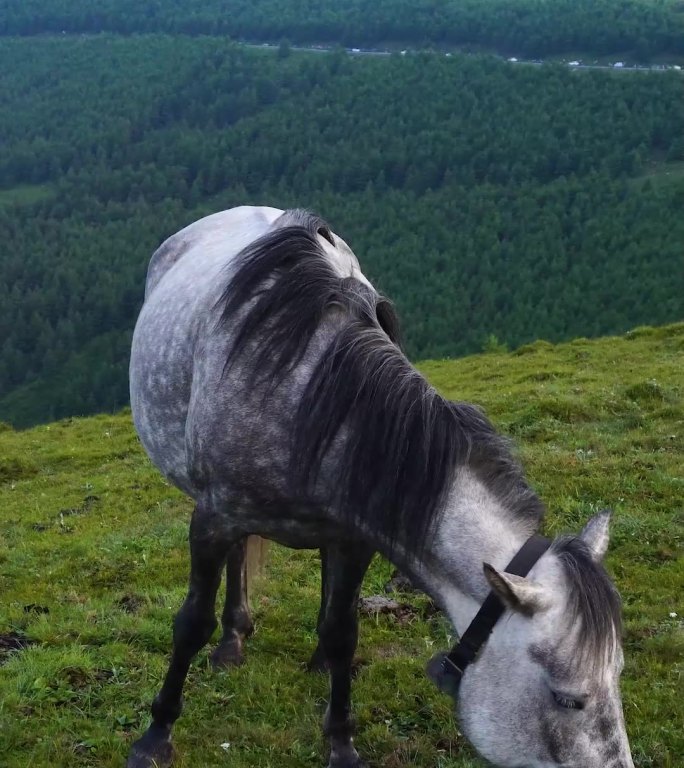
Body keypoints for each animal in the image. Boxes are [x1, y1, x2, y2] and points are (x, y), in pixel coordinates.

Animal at [125, 206, 632, 768]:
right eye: (568, 699)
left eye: (618, 677)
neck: (308, 398)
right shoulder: (213, 519)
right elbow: (191, 623)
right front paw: (156, 734)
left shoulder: (356, 537)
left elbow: (344, 632)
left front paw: (341, 740)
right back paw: (232, 639)